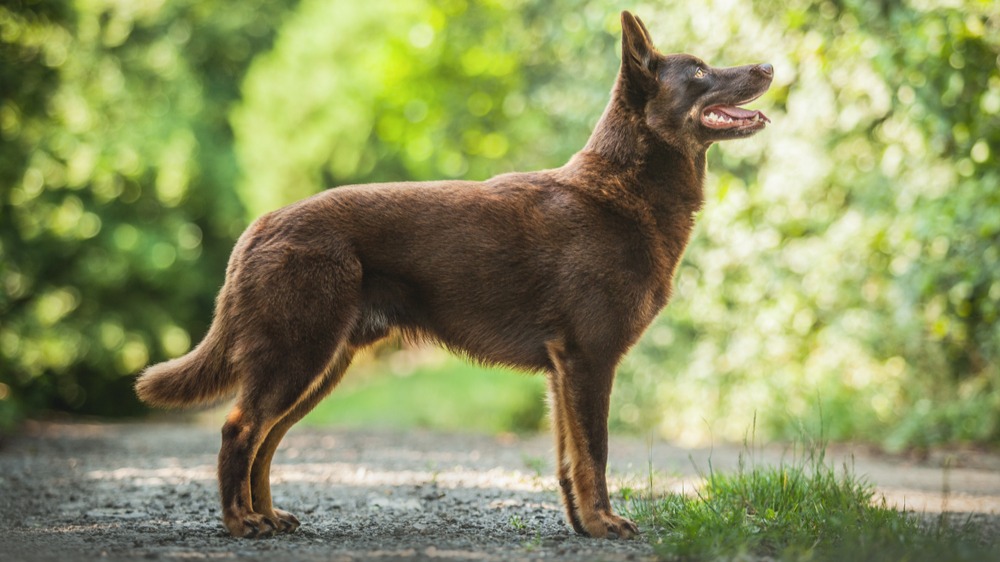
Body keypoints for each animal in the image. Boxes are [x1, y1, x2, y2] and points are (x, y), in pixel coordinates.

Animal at [135, 10, 772, 540]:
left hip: (320, 364)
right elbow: (595, 454)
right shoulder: (589, 361)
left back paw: (267, 516)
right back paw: (240, 523)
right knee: (240, 431)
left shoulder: (563, 372)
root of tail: (262, 225)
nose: (768, 66)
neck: (622, 190)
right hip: (297, 354)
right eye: (700, 71)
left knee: (266, 442)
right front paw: (603, 524)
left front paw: (581, 525)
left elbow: (569, 460)